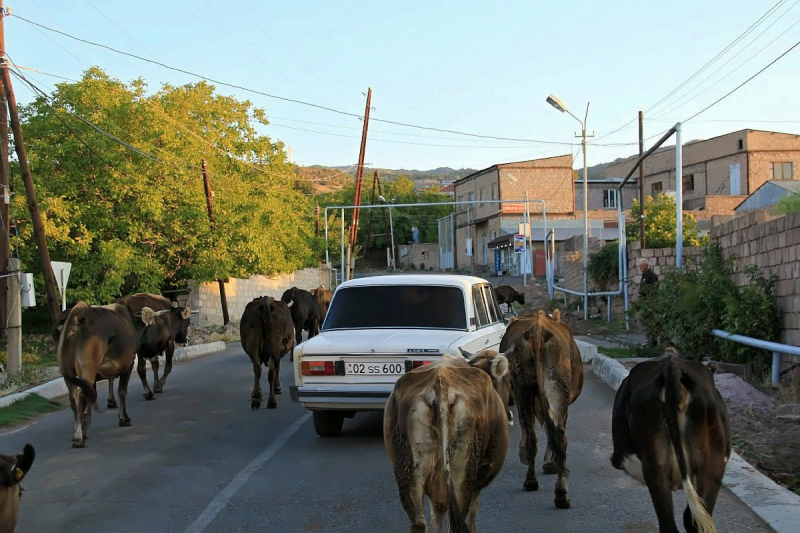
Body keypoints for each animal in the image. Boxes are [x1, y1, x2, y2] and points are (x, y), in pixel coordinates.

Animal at [57, 302, 150, 446]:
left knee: (74, 397)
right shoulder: (128, 364)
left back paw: (80, 431)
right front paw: (124, 418)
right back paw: (78, 436)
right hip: (88, 366)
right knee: (82, 395)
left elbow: (93, 394)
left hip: (67, 370)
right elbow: (122, 391)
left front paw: (86, 424)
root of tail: (78, 313)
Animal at [384, 352, 510, 528]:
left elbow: (436, 516)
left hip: (409, 471)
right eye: (508, 381)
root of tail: (440, 382)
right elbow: (474, 510)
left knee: (419, 520)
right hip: (462, 474)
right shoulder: (479, 478)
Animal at [496, 310, 584, 510]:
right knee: (556, 435)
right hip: (553, 387)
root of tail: (538, 328)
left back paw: (545, 487)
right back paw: (552, 490)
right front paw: (549, 463)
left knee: (537, 435)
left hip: (526, 387)